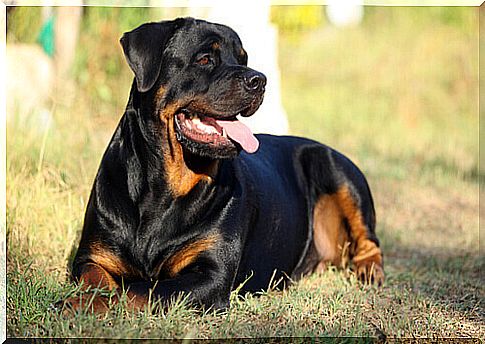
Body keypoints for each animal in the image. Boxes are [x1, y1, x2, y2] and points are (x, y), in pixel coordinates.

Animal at [63, 17, 382, 314]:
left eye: (243, 59)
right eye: (205, 59)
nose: (259, 80)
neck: (163, 187)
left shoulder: (211, 275)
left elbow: (138, 291)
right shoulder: (92, 257)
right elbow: (97, 282)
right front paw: (79, 303)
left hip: (337, 169)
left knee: (369, 240)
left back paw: (369, 271)